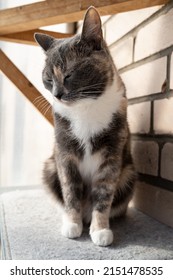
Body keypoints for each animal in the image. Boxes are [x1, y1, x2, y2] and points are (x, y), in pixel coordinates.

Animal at [34, 6, 136, 247]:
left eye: (69, 75)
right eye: (48, 79)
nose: (56, 95)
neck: (85, 108)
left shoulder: (112, 153)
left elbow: (104, 194)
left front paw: (100, 230)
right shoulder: (64, 153)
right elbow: (70, 191)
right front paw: (72, 224)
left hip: (129, 174)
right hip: (49, 168)